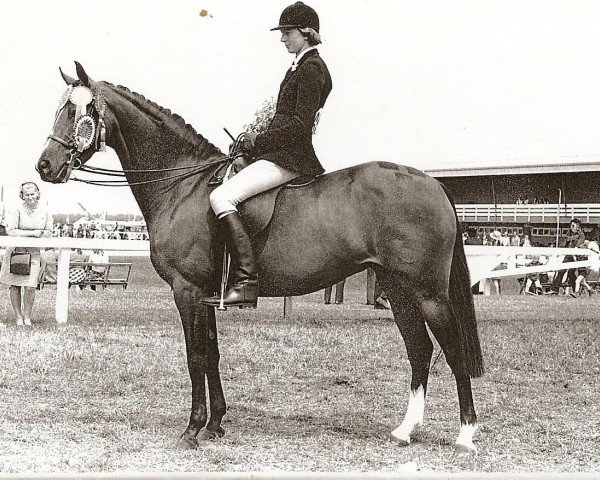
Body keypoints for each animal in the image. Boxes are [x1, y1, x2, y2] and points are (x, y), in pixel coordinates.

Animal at [37, 63, 486, 454]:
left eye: (76, 110)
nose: (44, 166)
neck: (183, 186)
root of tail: (433, 184)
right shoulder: (208, 294)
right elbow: (212, 353)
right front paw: (216, 424)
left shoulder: (187, 290)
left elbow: (195, 356)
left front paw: (192, 429)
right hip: (398, 289)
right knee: (420, 351)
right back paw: (406, 430)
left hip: (428, 293)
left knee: (453, 351)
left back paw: (465, 436)